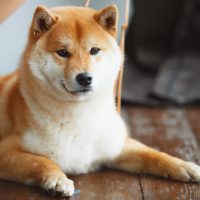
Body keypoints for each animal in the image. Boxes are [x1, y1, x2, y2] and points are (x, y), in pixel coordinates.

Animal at [0, 4, 199, 197]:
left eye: (94, 50)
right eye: (63, 52)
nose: (85, 78)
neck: (80, 116)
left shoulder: (118, 146)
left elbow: (153, 154)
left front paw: (184, 165)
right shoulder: (6, 150)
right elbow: (42, 161)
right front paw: (57, 180)